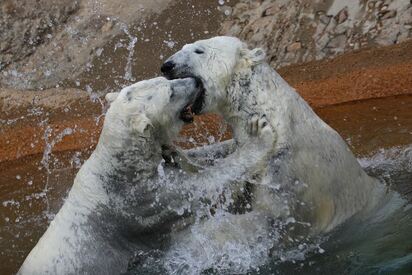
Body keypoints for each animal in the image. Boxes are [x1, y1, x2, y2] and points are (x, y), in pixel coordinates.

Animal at [20, 76, 276, 274]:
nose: (195, 81)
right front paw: (259, 135)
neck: (117, 171)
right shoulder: (140, 203)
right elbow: (202, 187)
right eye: (171, 93)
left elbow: (197, 158)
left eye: (165, 79)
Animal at [160, 35, 392, 236]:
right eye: (183, 47)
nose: (166, 66)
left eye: (199, 50)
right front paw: (173, 152)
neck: (270, 116)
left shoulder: (285, 172)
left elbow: (269, 217)